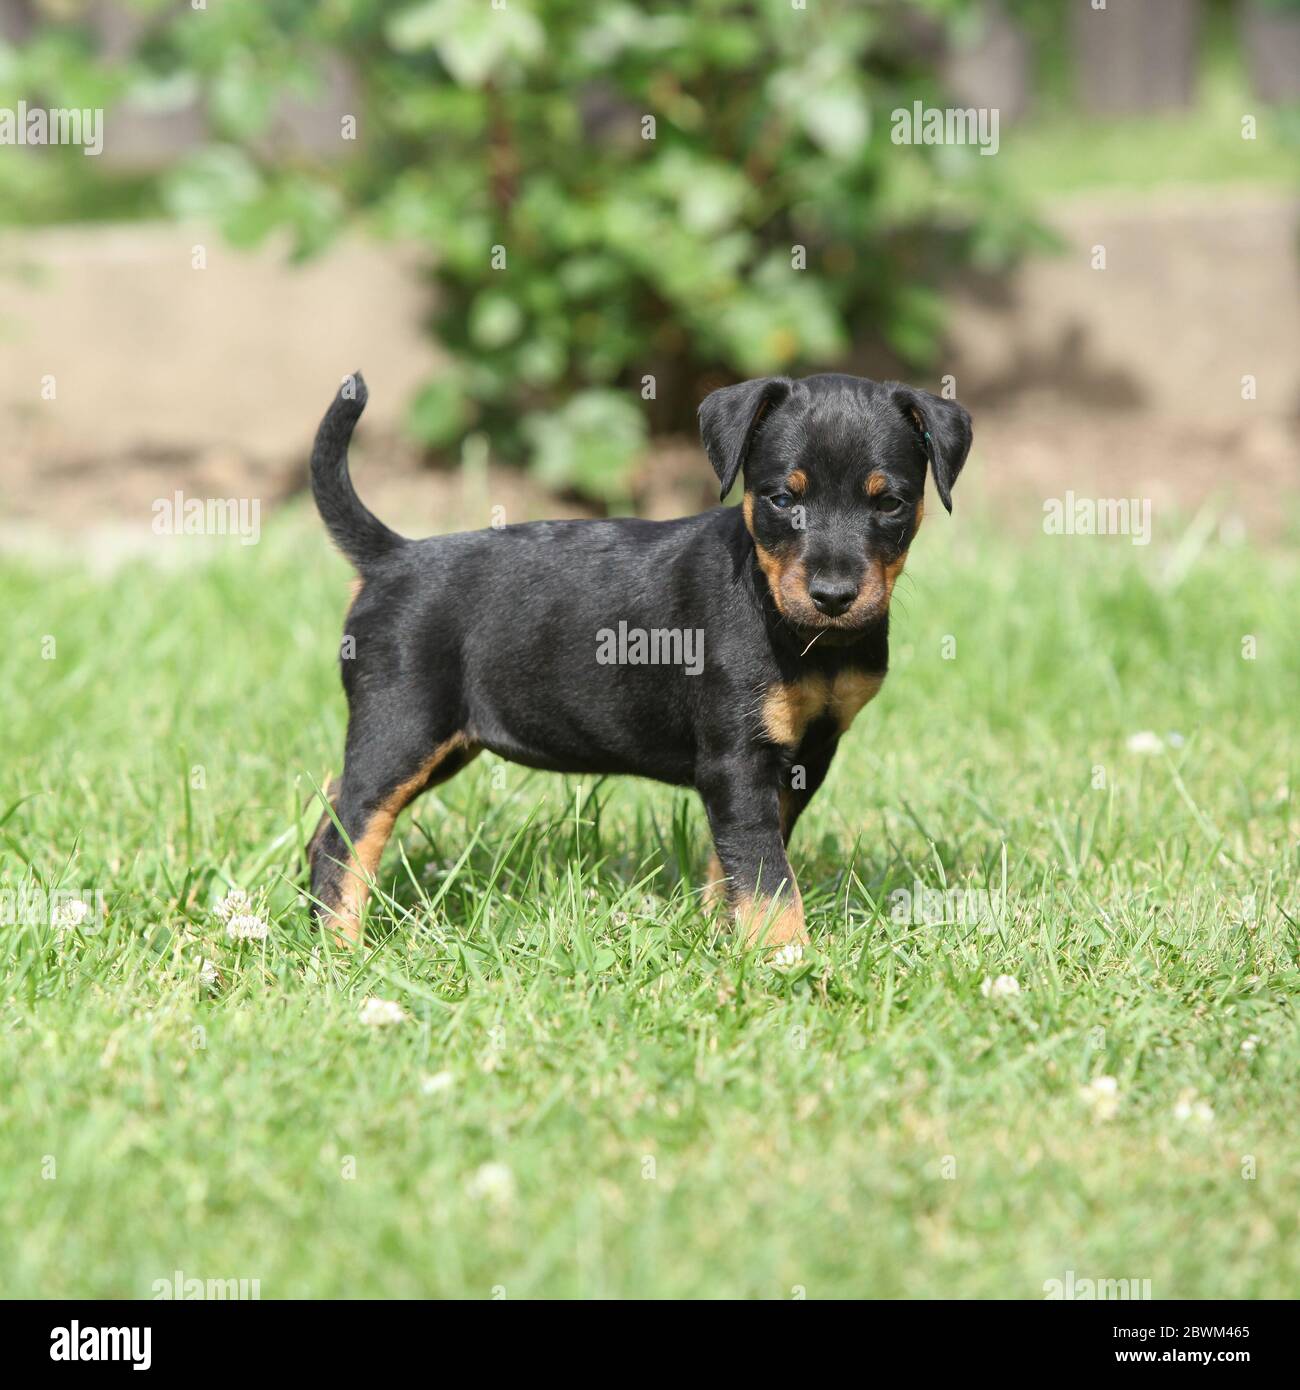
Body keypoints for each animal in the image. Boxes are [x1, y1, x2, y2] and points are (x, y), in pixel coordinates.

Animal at [307, 375, 967, 950]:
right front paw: (786, 956)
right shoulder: (738, 757)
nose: (833, 596)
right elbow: (766, 872)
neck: (802, 636)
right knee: (349, 835)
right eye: (783, 499)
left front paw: (727, 936)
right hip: (400, 730)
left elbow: (739, 859)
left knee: (329, 822)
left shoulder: (807, 753)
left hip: (437, 745)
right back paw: (341, 951)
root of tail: (393, 558)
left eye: (891, 503)